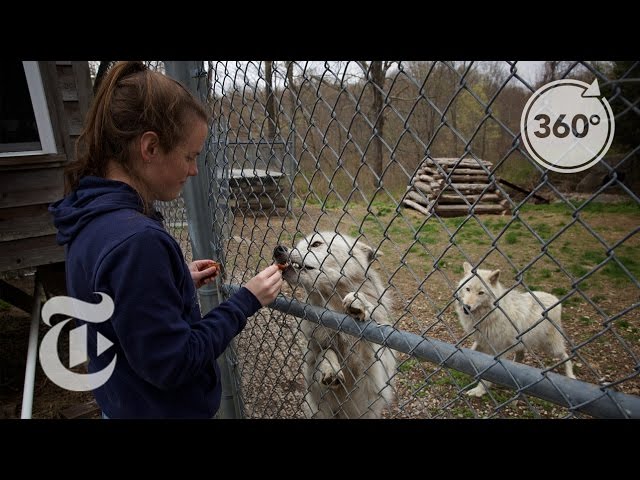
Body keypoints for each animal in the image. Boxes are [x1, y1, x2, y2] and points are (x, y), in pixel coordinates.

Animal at [274, 232, 398, 416]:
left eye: (316, 244)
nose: (278, 249)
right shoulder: (314, 381)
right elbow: (325, 352)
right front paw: (331, 368)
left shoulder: (372, 379)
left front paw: (359, 303)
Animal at [456, 262, 576, 398]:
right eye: (467, 289)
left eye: (481, 293)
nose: (466, 307)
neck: (488, 315)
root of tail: (556, 299)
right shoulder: (481, 340)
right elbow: (471, 352)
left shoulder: (498, 352)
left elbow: (487, 375)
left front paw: (478, 391)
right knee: (520, 357)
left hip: (550, 347)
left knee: (566, 355)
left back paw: (570, 375)